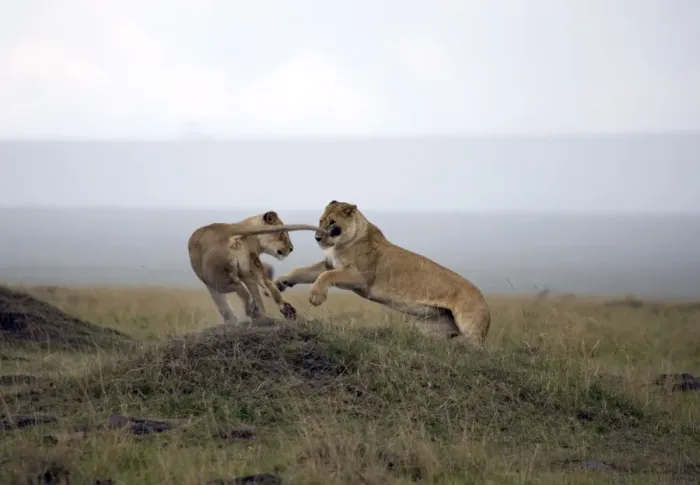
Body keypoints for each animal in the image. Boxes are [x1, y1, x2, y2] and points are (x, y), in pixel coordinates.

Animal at [188, 210, 328, 325]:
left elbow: (222, 305)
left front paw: (231, 322)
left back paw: (252, 310)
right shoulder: (248, 270)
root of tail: (229, 230)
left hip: (216, 277)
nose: (291, 249)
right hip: (251, 267)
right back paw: (283, 312)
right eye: (282, 234)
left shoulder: (209, 283)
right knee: (268, 286)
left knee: (239, 287)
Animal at [274, 201, 491, 345]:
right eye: (320, 221)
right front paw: (281, 282)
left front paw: (316, 296)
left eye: (332, 223)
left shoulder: (360, 278)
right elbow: (304, 271)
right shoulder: (329, 264)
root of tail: (485, 302)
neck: (340, 243)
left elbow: (326, 276)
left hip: (469, 326)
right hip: (429, 328)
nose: (317, 238)